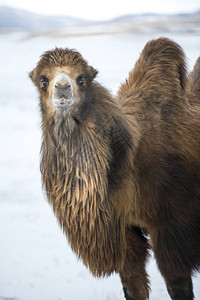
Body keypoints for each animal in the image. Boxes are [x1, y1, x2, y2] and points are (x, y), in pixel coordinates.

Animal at [29, 38, 200, 300]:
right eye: (43, 80)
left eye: (82, 79)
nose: (62, 88)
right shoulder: (125, 232)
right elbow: (133, 286)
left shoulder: (173, 228)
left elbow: (178, 286)